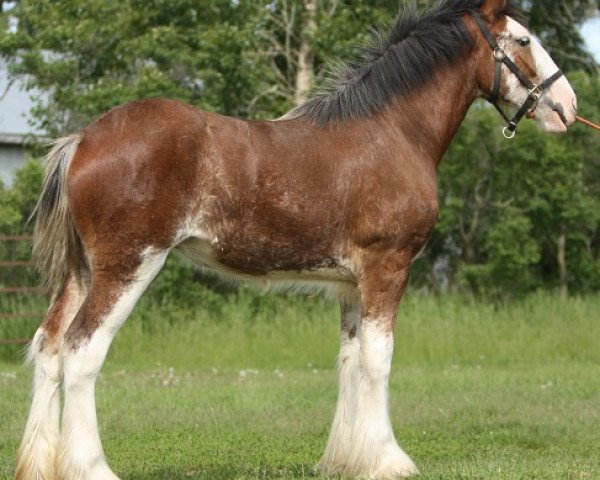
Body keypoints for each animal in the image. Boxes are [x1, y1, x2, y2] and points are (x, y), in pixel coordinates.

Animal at [15, 0, 576, 480]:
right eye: (523, 39)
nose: (567, 106)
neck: (393, 131)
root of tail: (83, 140)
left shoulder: (350, 285)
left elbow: (350, 361)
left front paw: (345, 460)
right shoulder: (387, 267)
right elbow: (378, 360)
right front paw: (389, 460)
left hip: (81, 273)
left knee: (48, 347)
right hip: (129, 265)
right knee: (82, 351)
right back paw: (91, 467)